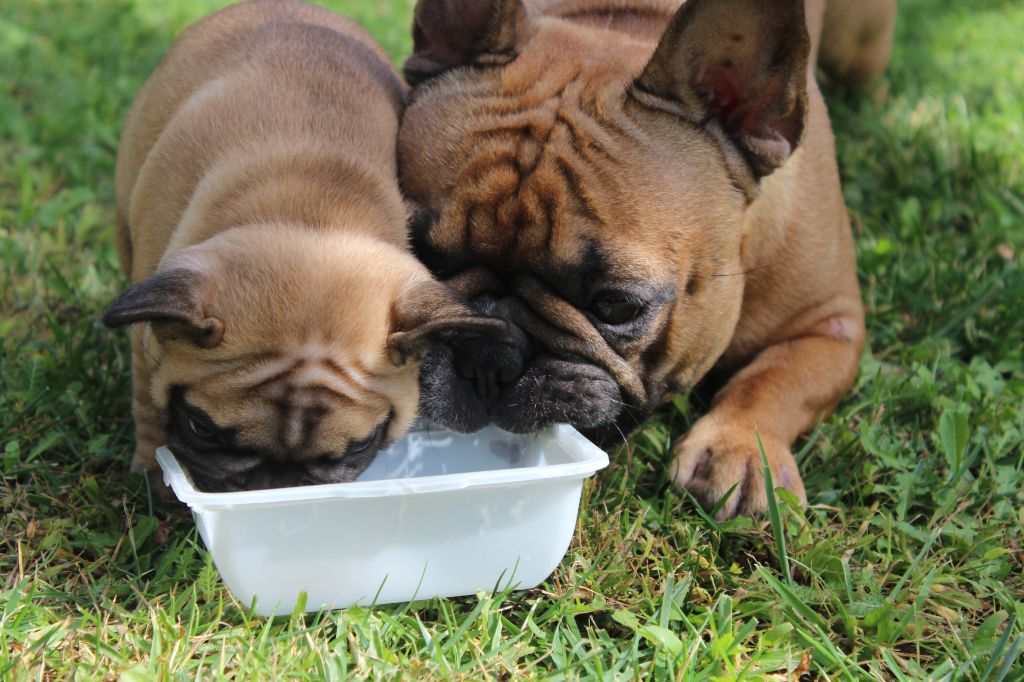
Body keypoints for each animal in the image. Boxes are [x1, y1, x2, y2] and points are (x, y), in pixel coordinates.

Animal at [105, 0, 501, 489]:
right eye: (201, 428)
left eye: (359, 447)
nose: (275, 485)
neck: (309, 214)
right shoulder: (147, 335)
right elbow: (148, 402)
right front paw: (151, 473)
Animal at [395, 0, 892, 516]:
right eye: (420, 261)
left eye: (616, 305)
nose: (489, 353)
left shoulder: (830, 325)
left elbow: (775, 379)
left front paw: (738, 449)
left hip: (860, 45)